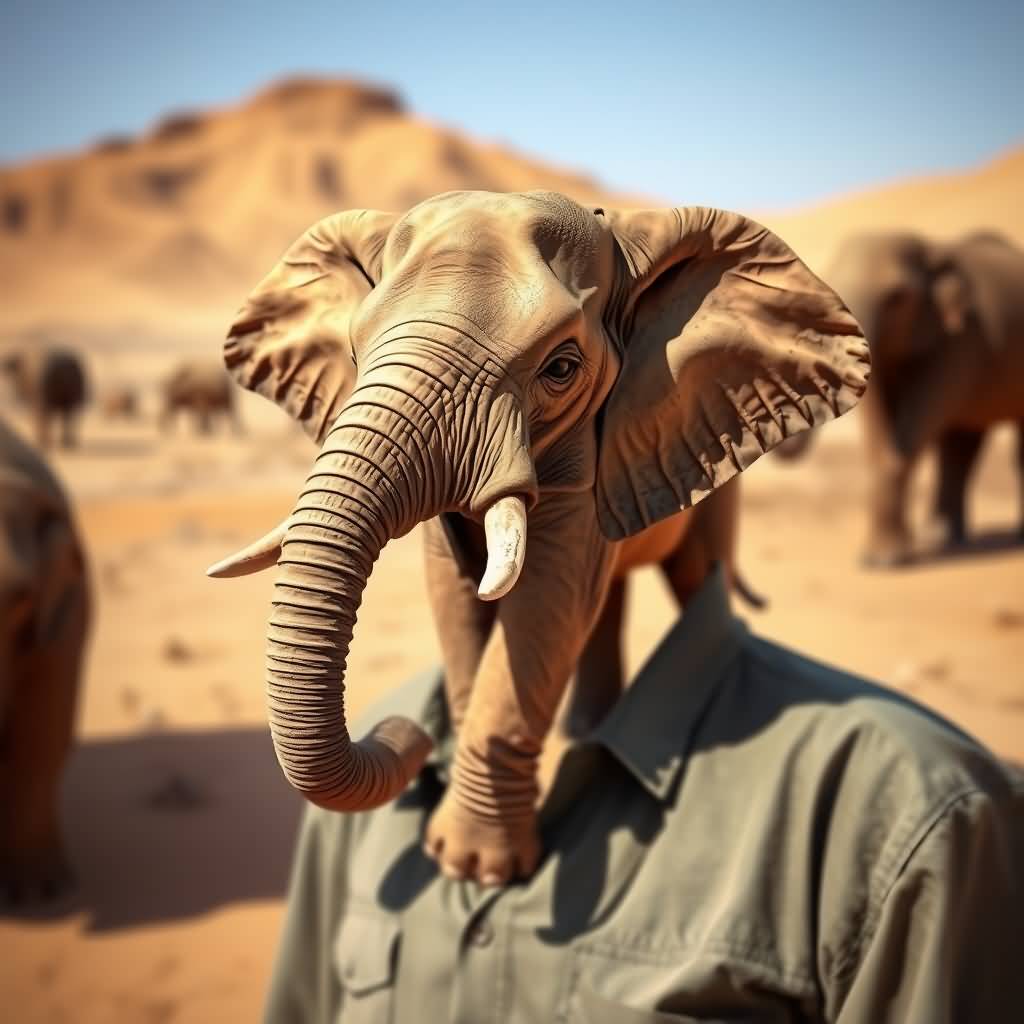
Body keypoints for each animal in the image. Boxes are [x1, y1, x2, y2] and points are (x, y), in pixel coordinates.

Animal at [208, 191, 869, 886]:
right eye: (356, 354)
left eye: (561, 368)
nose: (405, 733)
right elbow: (458, 599)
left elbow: (543, 606)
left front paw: (473, 866)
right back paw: (583, 730)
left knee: (690, 574)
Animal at [825, 231, 1024, 566]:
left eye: (897, 298)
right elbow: (880, 432)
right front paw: (875, 560)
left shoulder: (962, 338)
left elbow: (910, 434)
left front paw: (885, 562)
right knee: (961, 445)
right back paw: (942, 538)